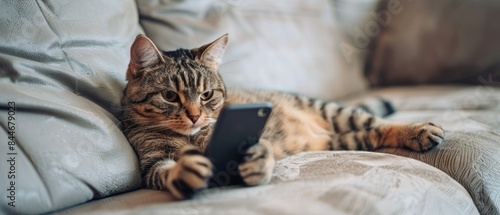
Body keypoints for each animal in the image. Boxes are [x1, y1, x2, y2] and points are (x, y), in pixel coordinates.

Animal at [121, 34, 446, 200]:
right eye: (170, 96)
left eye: (206, 95)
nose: (195, 116)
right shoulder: (152, 162)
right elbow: (166, 171)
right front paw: (185, 171)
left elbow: (260, 148)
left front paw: (257, 162)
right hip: (346, 139)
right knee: (373, 133)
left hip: (337, 113)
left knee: (380, 124)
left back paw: (419, 130)